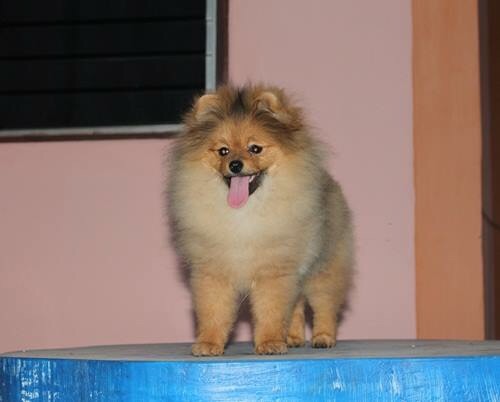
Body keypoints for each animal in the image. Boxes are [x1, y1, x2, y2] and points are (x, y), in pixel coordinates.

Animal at [168, 84, 353, 356]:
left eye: (255, 148)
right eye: (223, 151)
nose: (235, 164)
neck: (243, 214)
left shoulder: (273, 272)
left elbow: (271, 311)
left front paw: (269, 342)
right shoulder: (213, 272)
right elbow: (213, 312)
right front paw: (209, 343)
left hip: (324, 269)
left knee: (324, 305)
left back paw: (323, 337)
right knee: (297, 306)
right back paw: (293, 338)